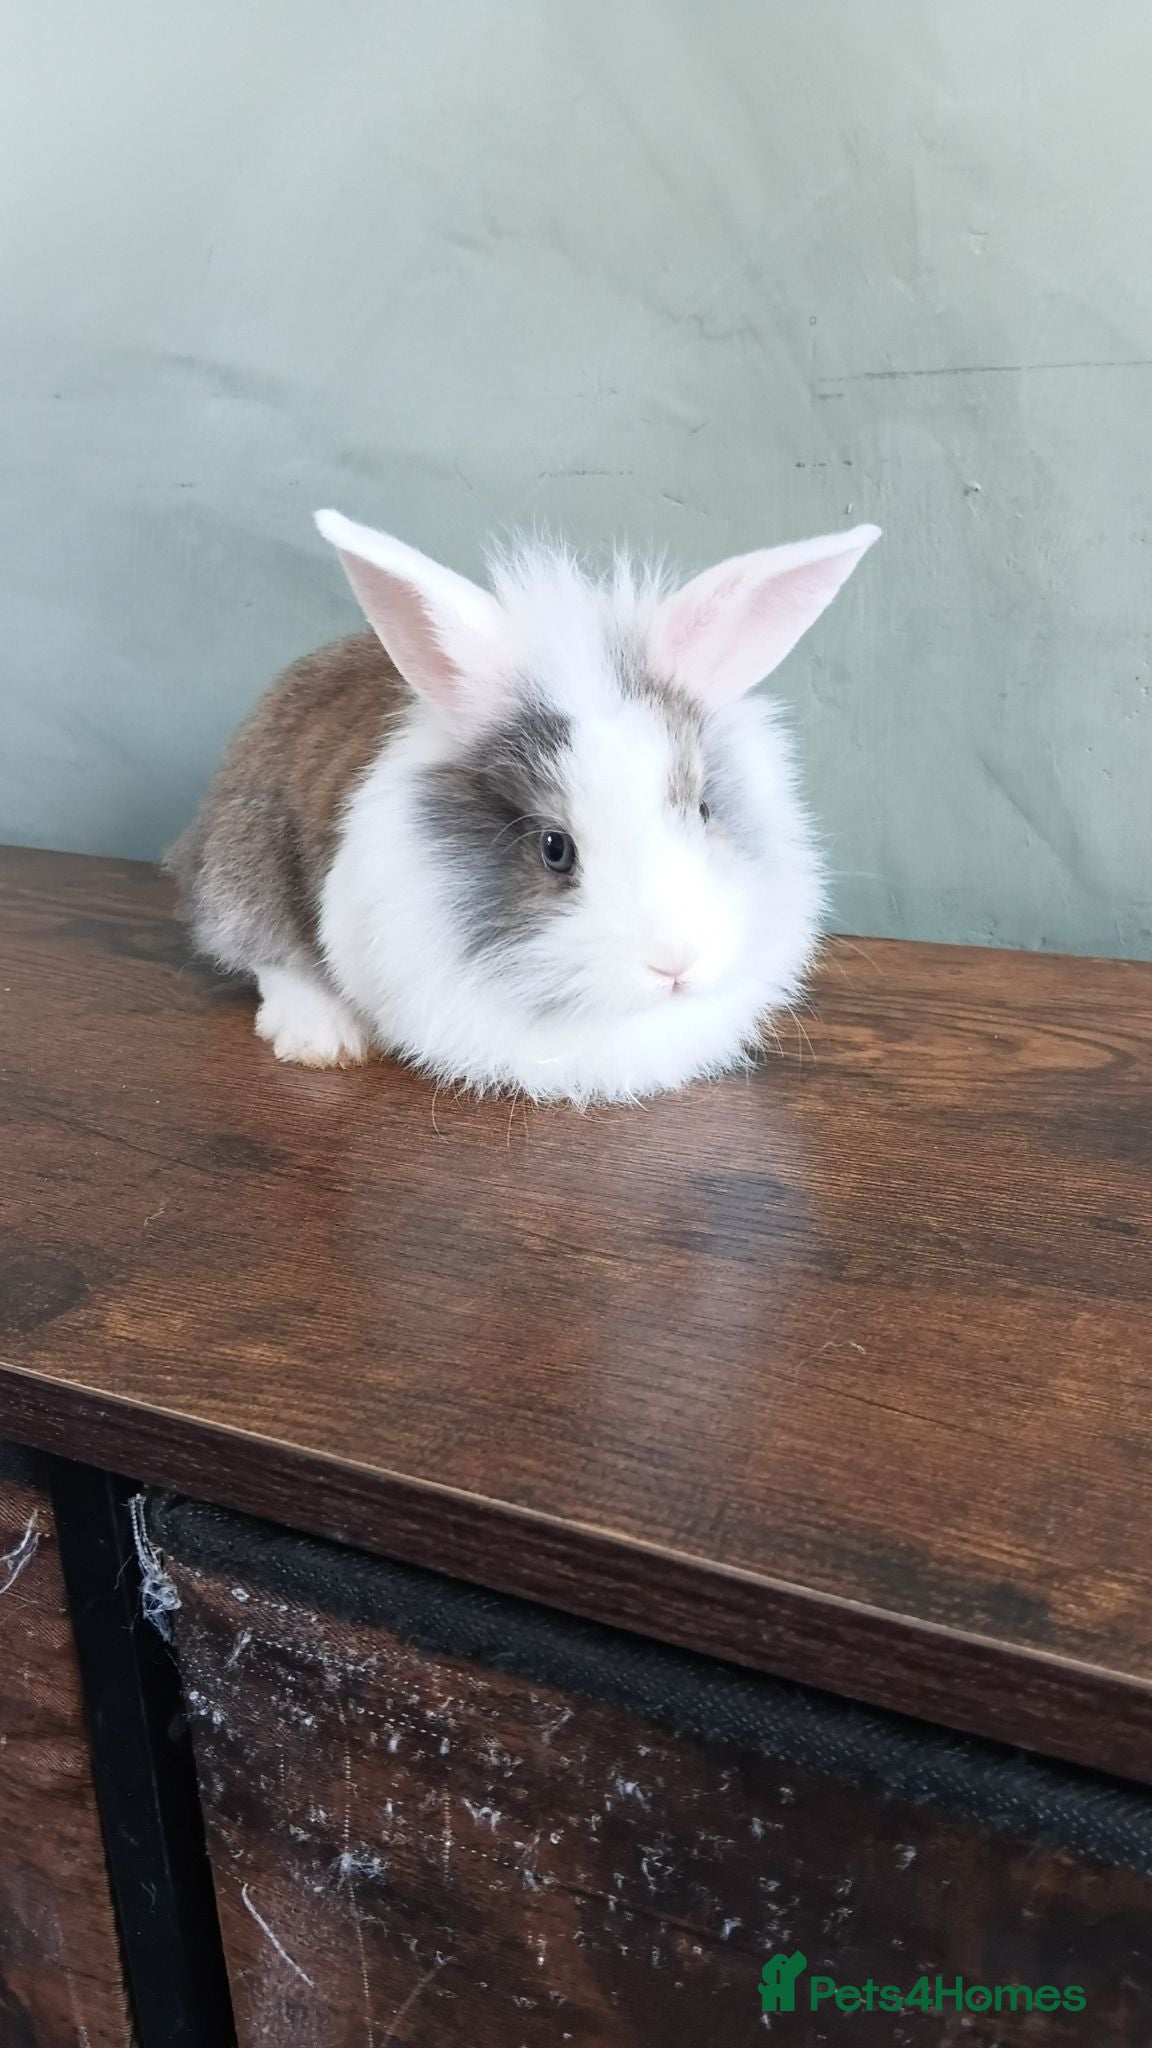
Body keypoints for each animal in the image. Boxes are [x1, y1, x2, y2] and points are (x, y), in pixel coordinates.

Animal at [169, 509, 879, 1103]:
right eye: (554, 848)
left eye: (703, 811)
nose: (675, 965)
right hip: (245, 867)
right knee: (263, 952)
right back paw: (320, 1036)